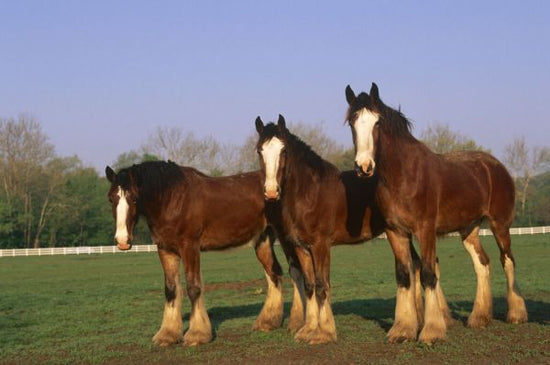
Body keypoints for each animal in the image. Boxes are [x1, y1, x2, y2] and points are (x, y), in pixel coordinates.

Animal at [104, 161, 294, 346]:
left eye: (134, 199)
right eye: (111, 199)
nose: (122, 240)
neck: (172, 199)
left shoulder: (190, 247)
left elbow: (193, 287)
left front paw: (197, 335)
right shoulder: (166, 250)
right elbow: (171, 289)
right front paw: (168, 335)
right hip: (263, 241)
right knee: (274, 273)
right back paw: (268, 322)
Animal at [256, 114, 430, 344]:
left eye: (283, 150)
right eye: (260, 150)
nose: (271, 192)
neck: (309, 193)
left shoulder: (320, 246)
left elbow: (322, 286)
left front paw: (324, 333)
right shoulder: (302, 248)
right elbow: (310, 286)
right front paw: (308, 330)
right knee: (415, 265)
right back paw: (416, 322)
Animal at [344, 84, 532, 342]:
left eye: (377, 122)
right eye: (352, 122)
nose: (364, 167)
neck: (404, 176)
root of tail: (495, 165)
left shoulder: (425, 230)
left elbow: (428, 274)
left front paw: (432, 331)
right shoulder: (395, 232)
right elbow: (404, 276)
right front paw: (402, 329)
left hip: (500, 224)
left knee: (508, 260)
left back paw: (516, 314)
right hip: (469, 229)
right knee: (482, 263)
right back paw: (479, 318)